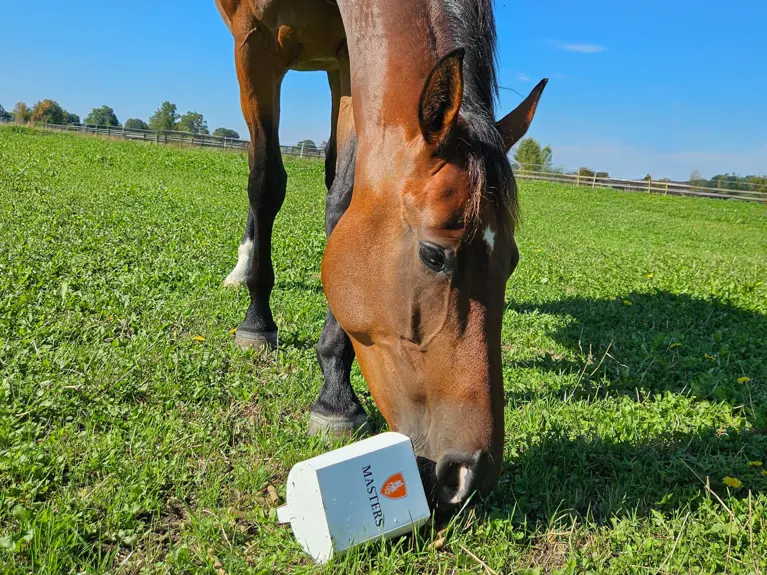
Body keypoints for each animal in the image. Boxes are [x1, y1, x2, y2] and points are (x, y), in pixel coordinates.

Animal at [215, 0, 547, 509]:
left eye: (510, 262)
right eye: (433, 255)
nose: (471, 474)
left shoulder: (349, 59)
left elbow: (342, 200)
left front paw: (335, 392)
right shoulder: (253, 42)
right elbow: (266, 180)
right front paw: (258, 322)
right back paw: (244, 274)